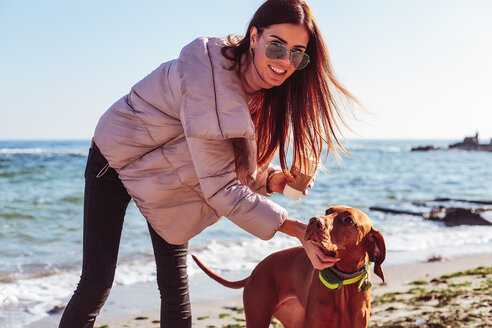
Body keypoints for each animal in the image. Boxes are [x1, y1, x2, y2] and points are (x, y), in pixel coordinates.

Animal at [190, 206, 386, 326]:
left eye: (348, 220)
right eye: (328, 211)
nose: (313, 221)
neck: (342, 280)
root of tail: (254, 272)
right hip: (258, 317)